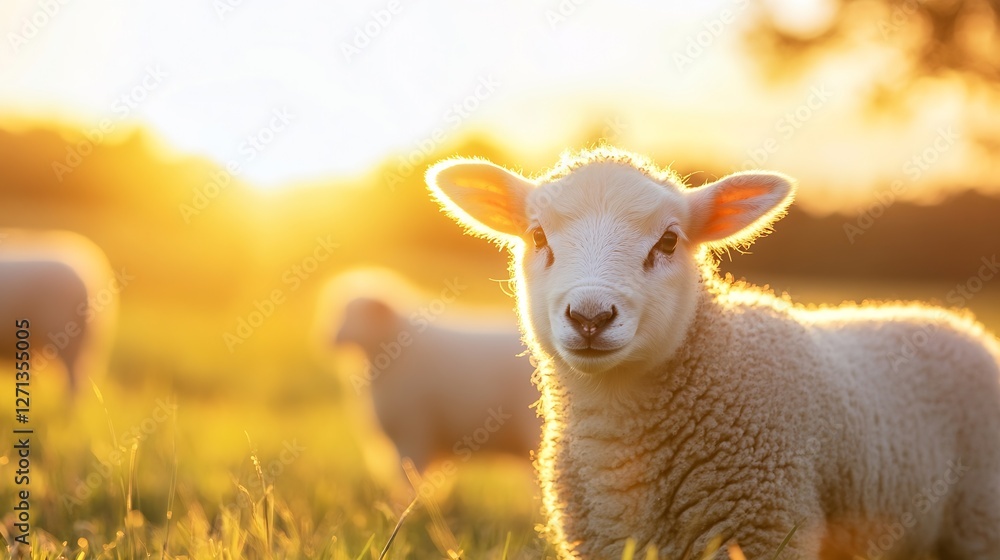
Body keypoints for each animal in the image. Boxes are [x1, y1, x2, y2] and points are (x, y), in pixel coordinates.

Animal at [426, 147, 1000, 559]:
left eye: (668, 241)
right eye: (538, 235)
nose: (590, 316)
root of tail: (954, 322)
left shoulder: (764, 525)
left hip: (979, 518)